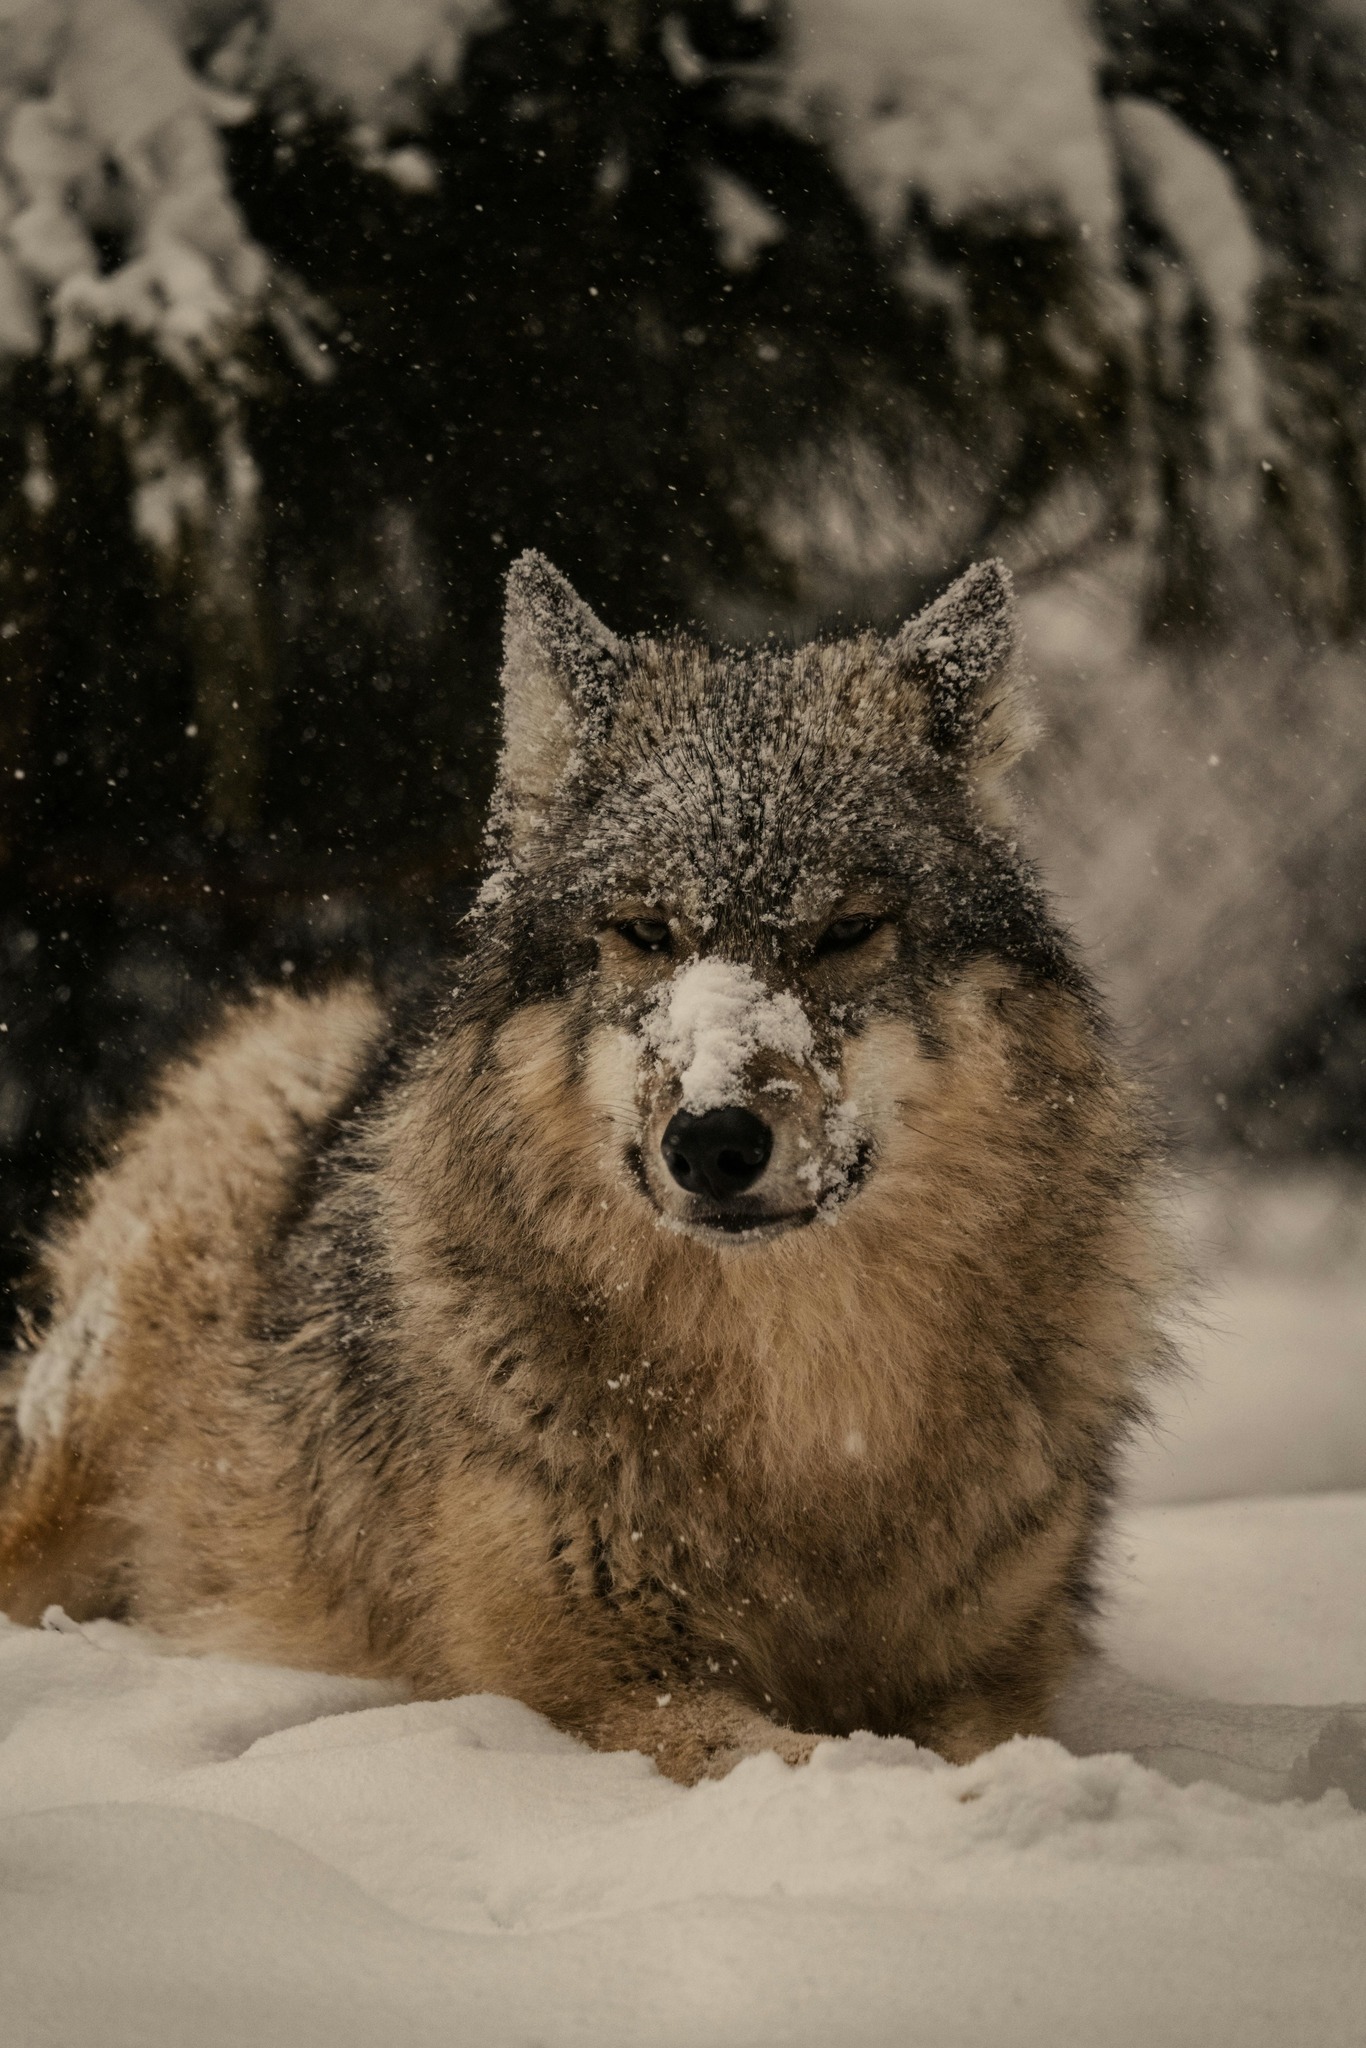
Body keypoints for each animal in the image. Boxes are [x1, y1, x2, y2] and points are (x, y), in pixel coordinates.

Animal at [0, 553, 1167, 1783]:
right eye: (645, 932)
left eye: (845, 931)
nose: (711, 1141)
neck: (804, 1403)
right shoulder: (605, 1687)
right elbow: (820, 1759)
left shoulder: (988, 1676)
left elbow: (977, 1744)